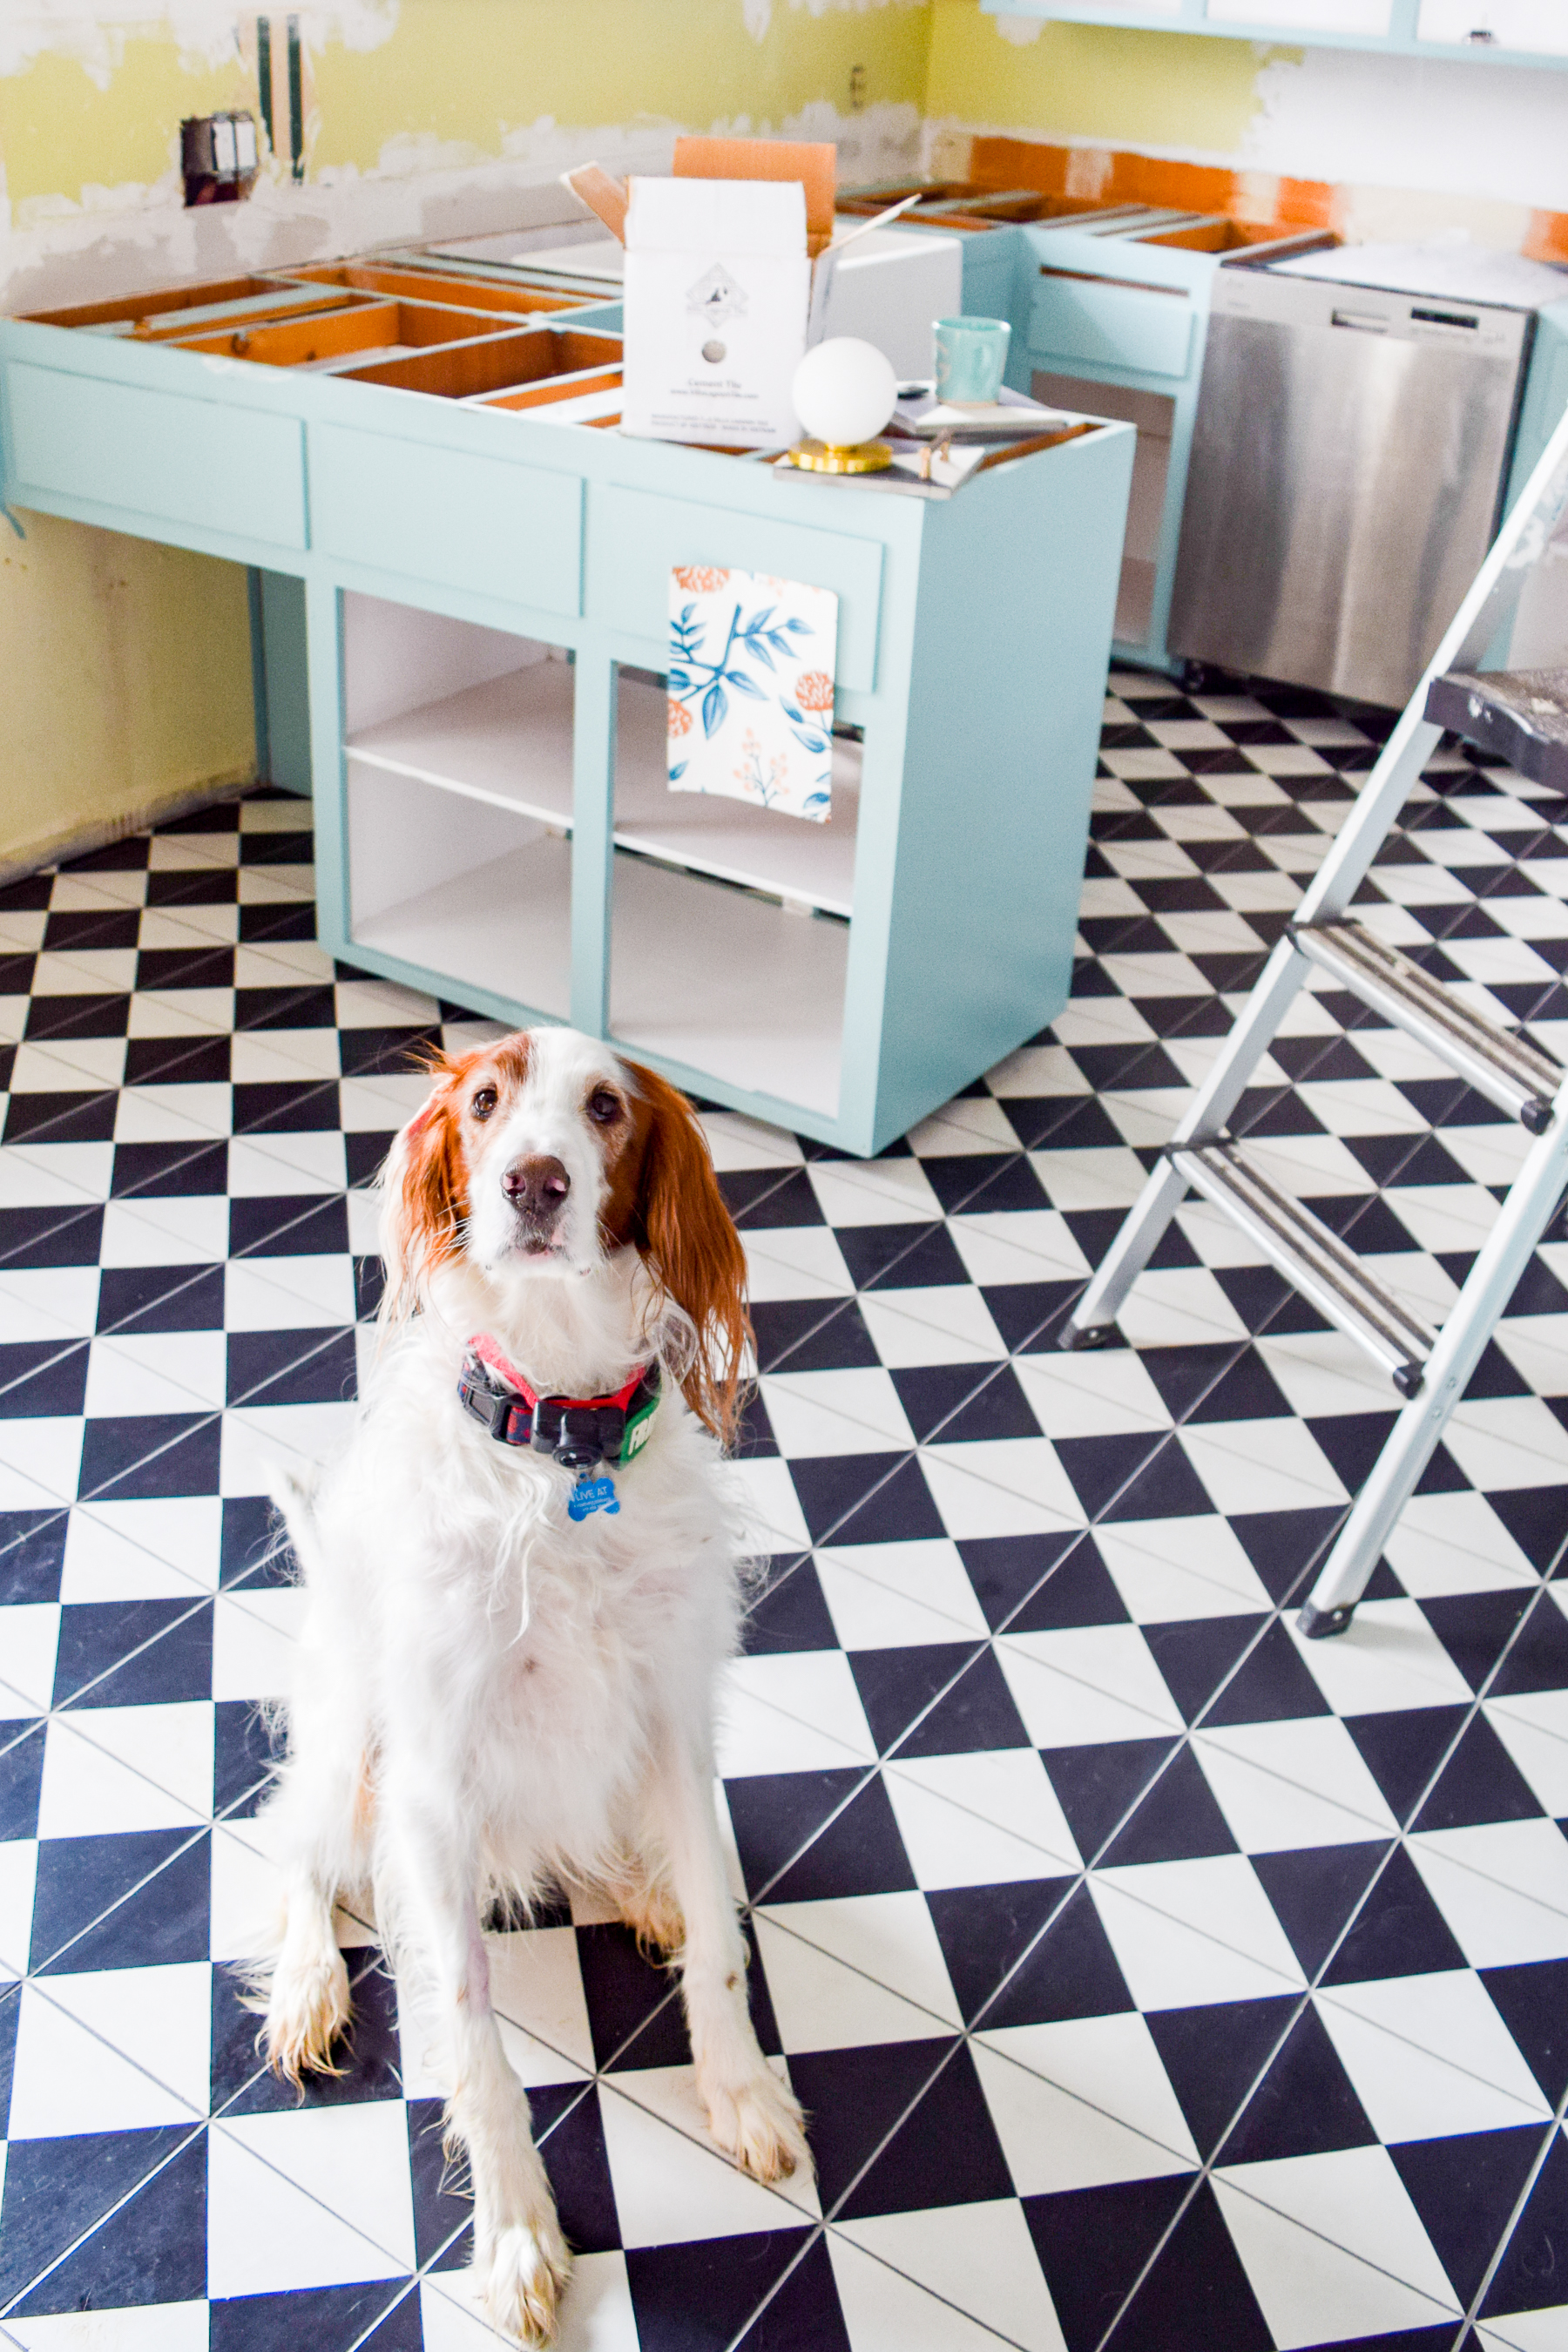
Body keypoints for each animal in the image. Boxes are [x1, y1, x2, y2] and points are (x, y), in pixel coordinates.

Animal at [247, 1025, 808, 2333]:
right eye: (486, 1104)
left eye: (604, 1108)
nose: (534, 1185)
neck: (559, 1449)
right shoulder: (429, 1780)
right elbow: (470, 2031)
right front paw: (514, 2234)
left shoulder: (672, 1711)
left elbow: (720, 1938)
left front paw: (742, 2089)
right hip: (349, 1717)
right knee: (297, 1848)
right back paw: (306, 1985)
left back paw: (645, 1885)